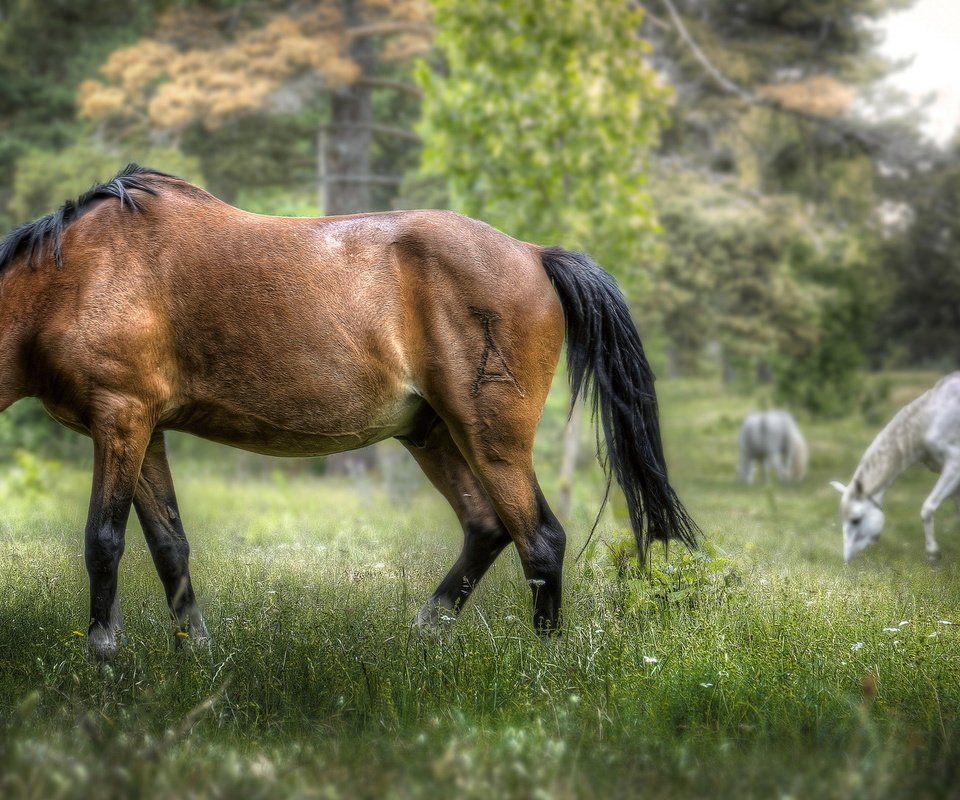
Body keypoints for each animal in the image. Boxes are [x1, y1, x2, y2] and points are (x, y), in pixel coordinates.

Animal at [0, 166, 692, 660]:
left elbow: (104, 540)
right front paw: (195, 654)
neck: (72, 276)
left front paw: (102, 657)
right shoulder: (145, 429)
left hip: (490, 437)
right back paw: (423, 632)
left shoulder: (119, 419)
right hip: (432, 433)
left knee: (540, 540)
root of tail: (533, 253)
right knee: (486, 528)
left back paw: (541, 669)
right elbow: (170, 543)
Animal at [828, 370, 960, 564]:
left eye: (856, 520)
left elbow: (928, 508)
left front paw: (933, 553)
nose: (847, 558)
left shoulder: (954, 466)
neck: (929, 420)